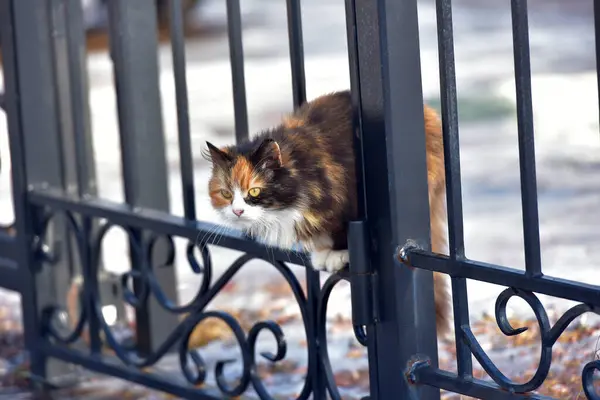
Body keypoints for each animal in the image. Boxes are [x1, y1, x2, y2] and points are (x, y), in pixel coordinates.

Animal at [206, 90, 450, 334]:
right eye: (226, 193)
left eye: (254, 191)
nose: (237, 211)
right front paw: (322, 251)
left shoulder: (347, 198)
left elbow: (339, 228)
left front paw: (338, 253)